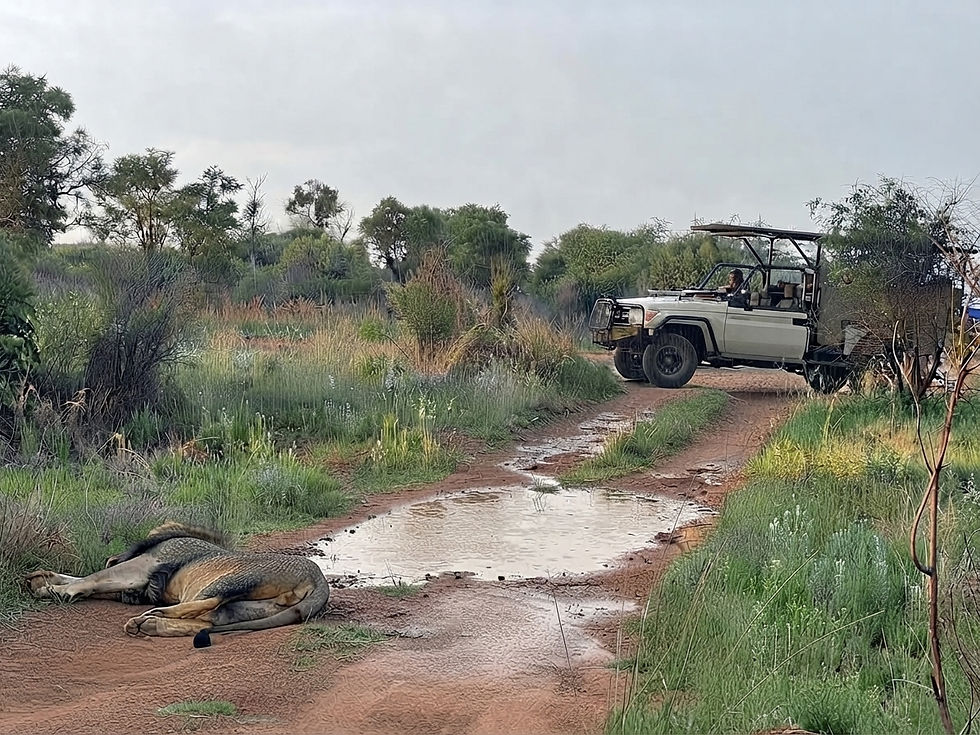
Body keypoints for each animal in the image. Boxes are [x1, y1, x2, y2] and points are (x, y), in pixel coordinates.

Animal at [24, 522, 330, 648]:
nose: (131, 598)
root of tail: (320, 582)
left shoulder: (142, 566)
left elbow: (94, 578)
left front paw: (52, 589)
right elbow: (91, 582)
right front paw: (41, 579)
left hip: (236, 577)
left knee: (207, 604)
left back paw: (148, 618)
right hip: (250, 608)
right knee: (205, 621)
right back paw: (149, 625)